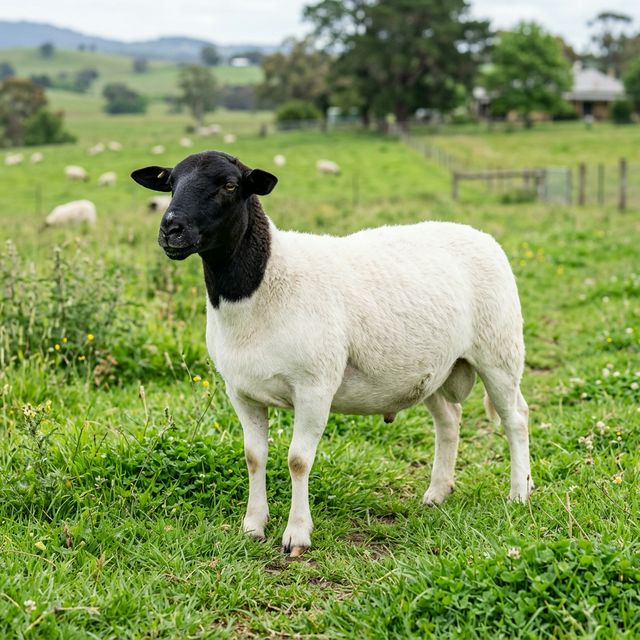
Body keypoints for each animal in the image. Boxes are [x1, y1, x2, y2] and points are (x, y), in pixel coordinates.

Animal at [131, 151, 533, 556]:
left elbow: (297, 460)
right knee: (449, 421)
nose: (171, 230)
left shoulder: (314, 386)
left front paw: (297, 534)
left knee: (515, 418)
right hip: (432, 368)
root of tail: (479, 234)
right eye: (171, 183)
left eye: (229, 185)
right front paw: (253, 526)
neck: (262, 284)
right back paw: (437, 493)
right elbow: (253, 457)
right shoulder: (241, 392)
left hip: (499, 351)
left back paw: (519, 493)